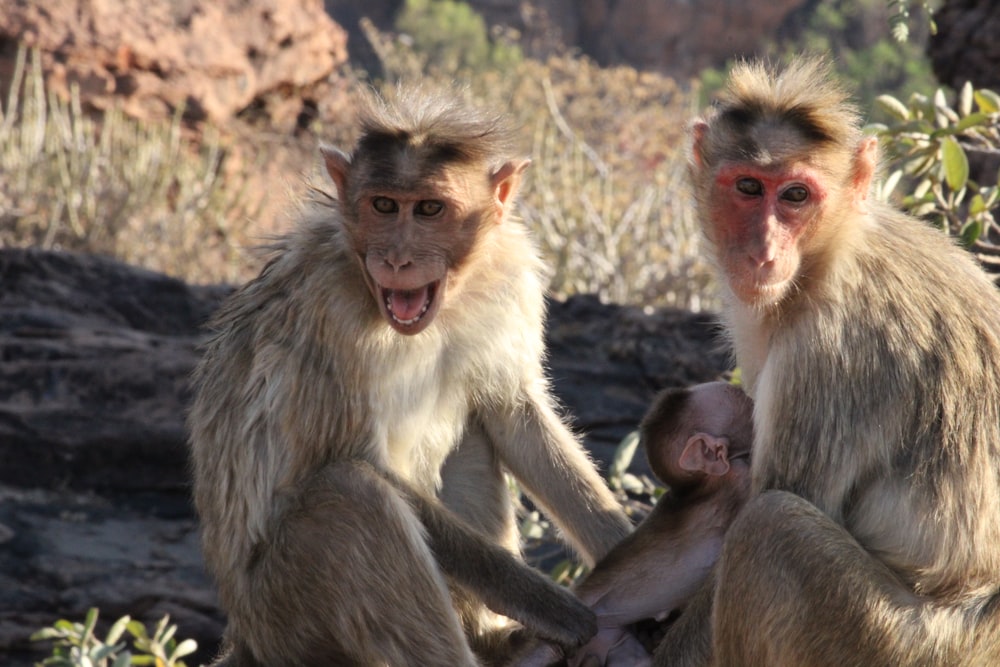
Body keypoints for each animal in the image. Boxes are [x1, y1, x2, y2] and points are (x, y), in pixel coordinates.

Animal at [188, 85, 632, 667]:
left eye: (429, 209)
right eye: (383, 205)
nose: (397, 259)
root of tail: (245, 632)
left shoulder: (511, 275)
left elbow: (512, 413)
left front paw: (631, 543)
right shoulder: (328, 310)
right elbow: (363, 462)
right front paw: (556, 608)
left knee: (470, 437)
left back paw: (488, 636)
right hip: (284, 616)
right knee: (353, 498)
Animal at [652, 56, 1000, 667]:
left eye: (795, 196)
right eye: (748, 187)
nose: (763, 252)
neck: (826, 255)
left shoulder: (828, 354)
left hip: (886, 642)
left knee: (770, 525)